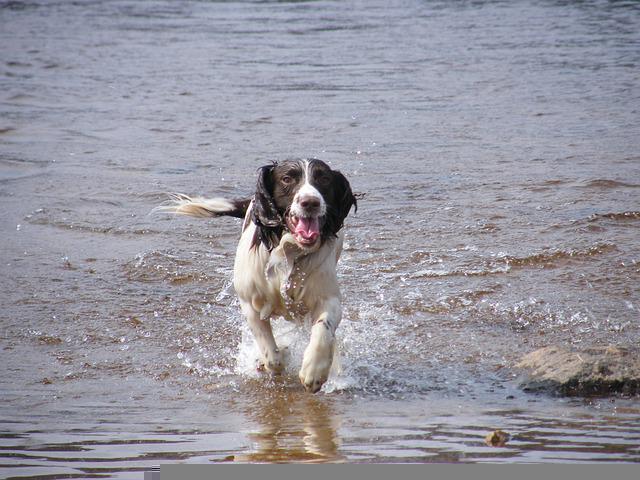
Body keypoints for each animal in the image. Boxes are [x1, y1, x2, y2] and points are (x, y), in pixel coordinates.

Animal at [158, 159, 358, 392]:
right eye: (287, 179)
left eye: (324, 179)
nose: (310, 202)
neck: (289, 250)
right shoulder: (250, 302)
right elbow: (271, 355)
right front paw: (275, 359)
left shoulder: (328, 298)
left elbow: (323, 329)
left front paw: (314, 371)